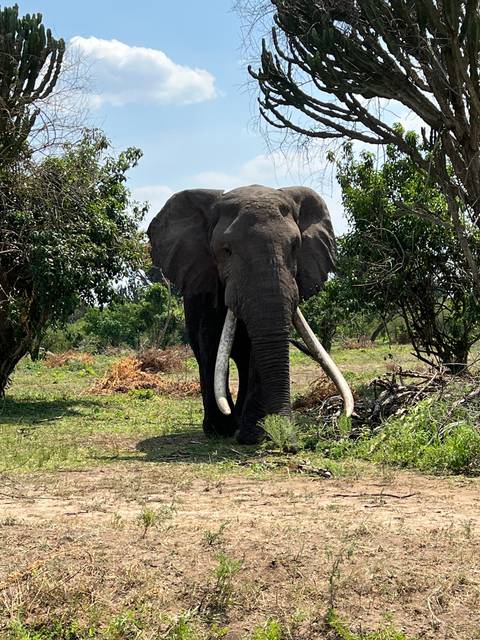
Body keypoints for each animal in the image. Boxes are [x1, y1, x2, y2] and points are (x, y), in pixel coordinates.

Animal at [147, 185, 353, 444]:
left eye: (295, 247)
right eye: (226, 251)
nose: (291, 444)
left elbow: (259, 350)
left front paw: (253, 435)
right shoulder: (206, 286)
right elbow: (211, 344)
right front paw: (222, 430)